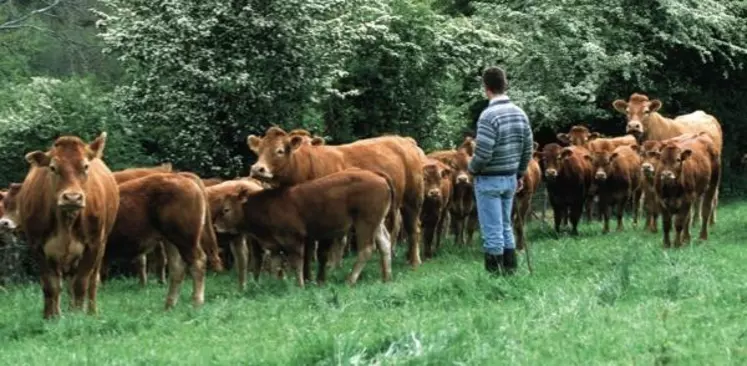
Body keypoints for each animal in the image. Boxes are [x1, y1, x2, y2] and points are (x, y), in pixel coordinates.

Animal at [20, 132, 120, 318]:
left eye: (86, 166)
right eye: (53, 168)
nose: (72, 198)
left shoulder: (93, 245)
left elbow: (81, 283)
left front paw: (79, 316)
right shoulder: (37, 246)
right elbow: (50, 286)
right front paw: (50, 317)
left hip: (101, 245)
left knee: (91, 282)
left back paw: (90, 311)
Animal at [105, 172, 207, 308]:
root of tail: (181, 177)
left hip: (185, 240)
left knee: (197, 262)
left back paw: (196, 302)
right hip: (171, 241)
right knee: (177, 268)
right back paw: (169, 305)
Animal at [212, 167, 394, 288]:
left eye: (226, 209)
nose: (216, 226)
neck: (267, 205)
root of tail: (377, 175)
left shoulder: (294, 240)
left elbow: (296, 263)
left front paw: (300, 285)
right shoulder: (275, 245)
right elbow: (276, 265)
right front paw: (276, 284)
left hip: (365, 222)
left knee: (366, 249)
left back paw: (350, 280)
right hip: (376, 223)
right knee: (385, 243)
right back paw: (386, 277)